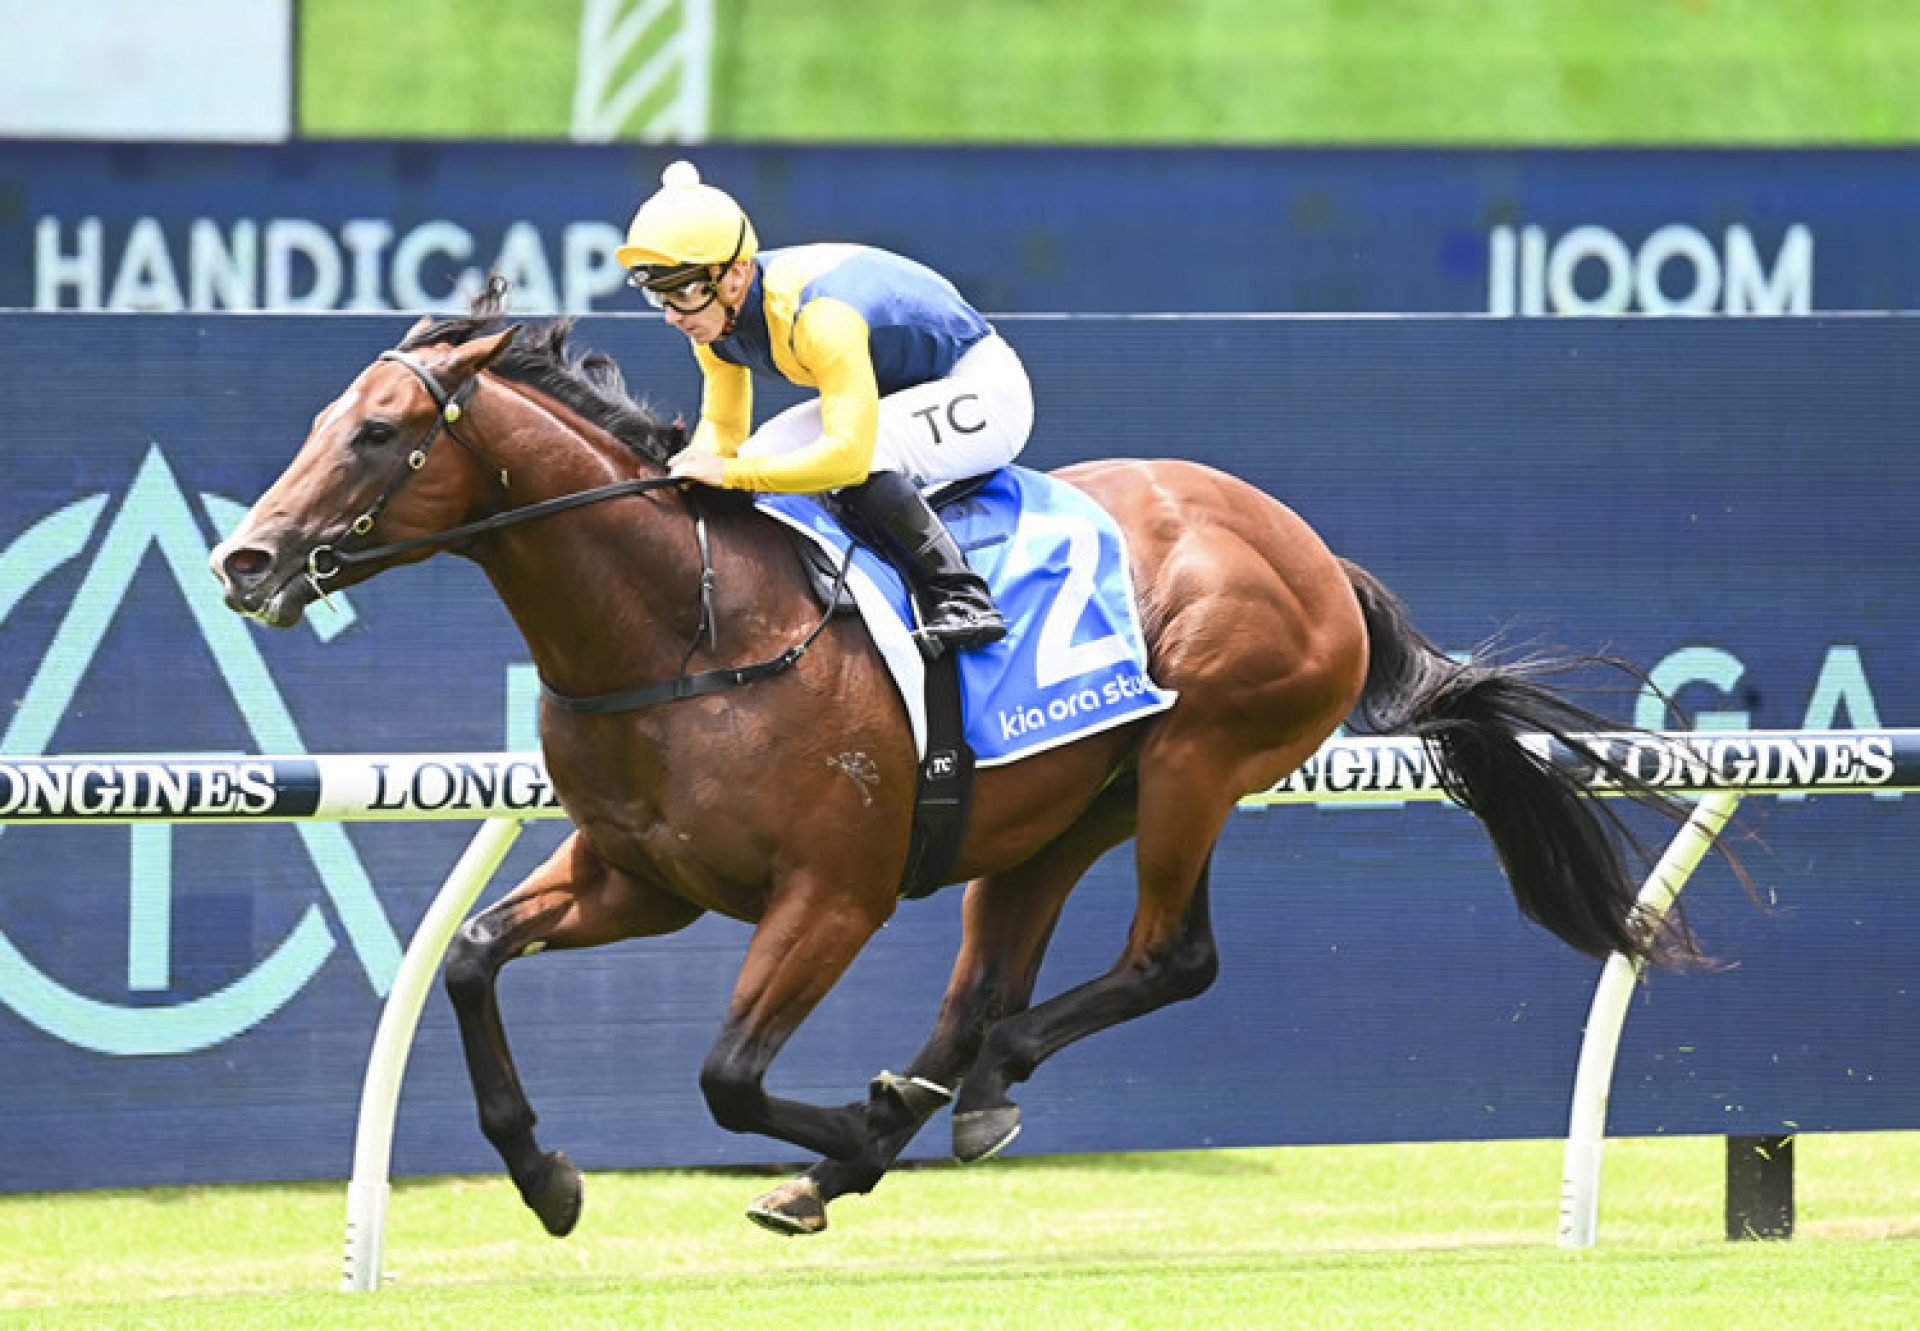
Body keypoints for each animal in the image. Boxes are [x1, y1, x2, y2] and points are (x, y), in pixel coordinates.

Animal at [206, 297, 1697, 1236]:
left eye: (380, 433)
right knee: (987, 986)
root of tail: (1309, 547)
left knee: (1165, 958)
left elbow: (727, 1076)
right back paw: (901, 1124)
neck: (687, 624)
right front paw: (547, 1175)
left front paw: (847, 1127)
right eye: (331, 418)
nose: (246, 559)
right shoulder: (641, 877)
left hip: (1200, 758)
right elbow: (466, 959)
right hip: (1054, 814)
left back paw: (942, 1103)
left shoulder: (832, 893)